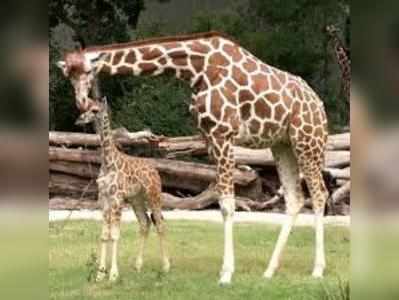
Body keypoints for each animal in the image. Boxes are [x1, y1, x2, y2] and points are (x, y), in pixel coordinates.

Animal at [75, 97, 170, 282]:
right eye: (86, 108)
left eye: (95, 110)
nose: (79, 119)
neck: (108, 162)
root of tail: (155, 170)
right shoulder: (104, 200)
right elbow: (104, 235)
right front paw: (100, 274)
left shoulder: (117, 199)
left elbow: (115, 234)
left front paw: (113, 275)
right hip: (136, 200)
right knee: (145, 223)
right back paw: (138, 265)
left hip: (154, 195)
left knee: (160, 224)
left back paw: (166, 266)